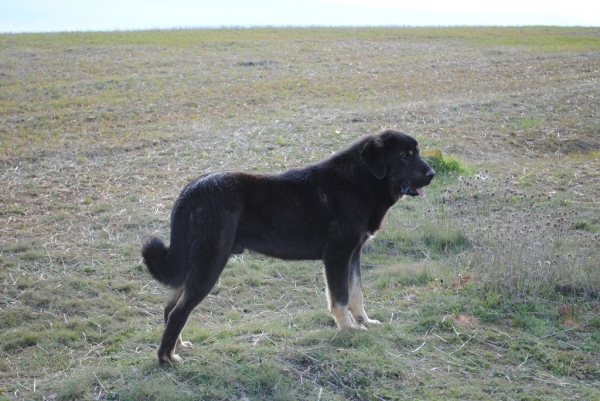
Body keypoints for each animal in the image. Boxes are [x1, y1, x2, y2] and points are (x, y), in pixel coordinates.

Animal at [143, 130, 434, 364]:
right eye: (404, 156)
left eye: (417, 153)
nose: (432, 174)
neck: (360, 180)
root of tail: (190, 191)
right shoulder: (337, 255)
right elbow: (340, 298)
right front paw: (348, 331)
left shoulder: (354, 254)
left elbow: (356, 294)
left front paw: (364, 322)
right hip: (210, 262)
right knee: (179, 311)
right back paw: (166, 358)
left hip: (195, 263)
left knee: (170, 308)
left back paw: (178, 345)